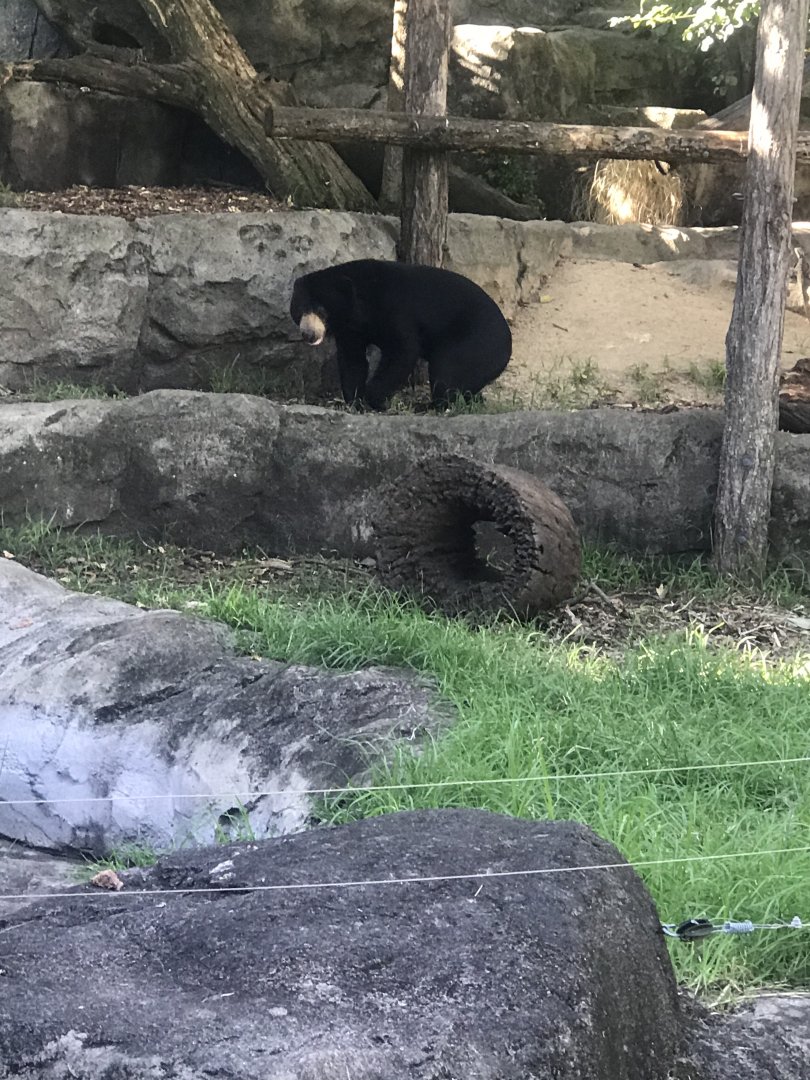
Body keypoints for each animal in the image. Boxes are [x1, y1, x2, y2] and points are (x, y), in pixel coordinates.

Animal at [289, 259, 512, 411]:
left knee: (447, 370)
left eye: (321, 310)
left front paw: (374, 398)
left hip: (475, 342)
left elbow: (402, 351)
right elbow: (352, 360)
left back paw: (430, 406)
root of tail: (507, 344)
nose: (308, 334)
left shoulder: (396, 309)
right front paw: (354, 402)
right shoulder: (350, 330)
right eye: (299, 310)